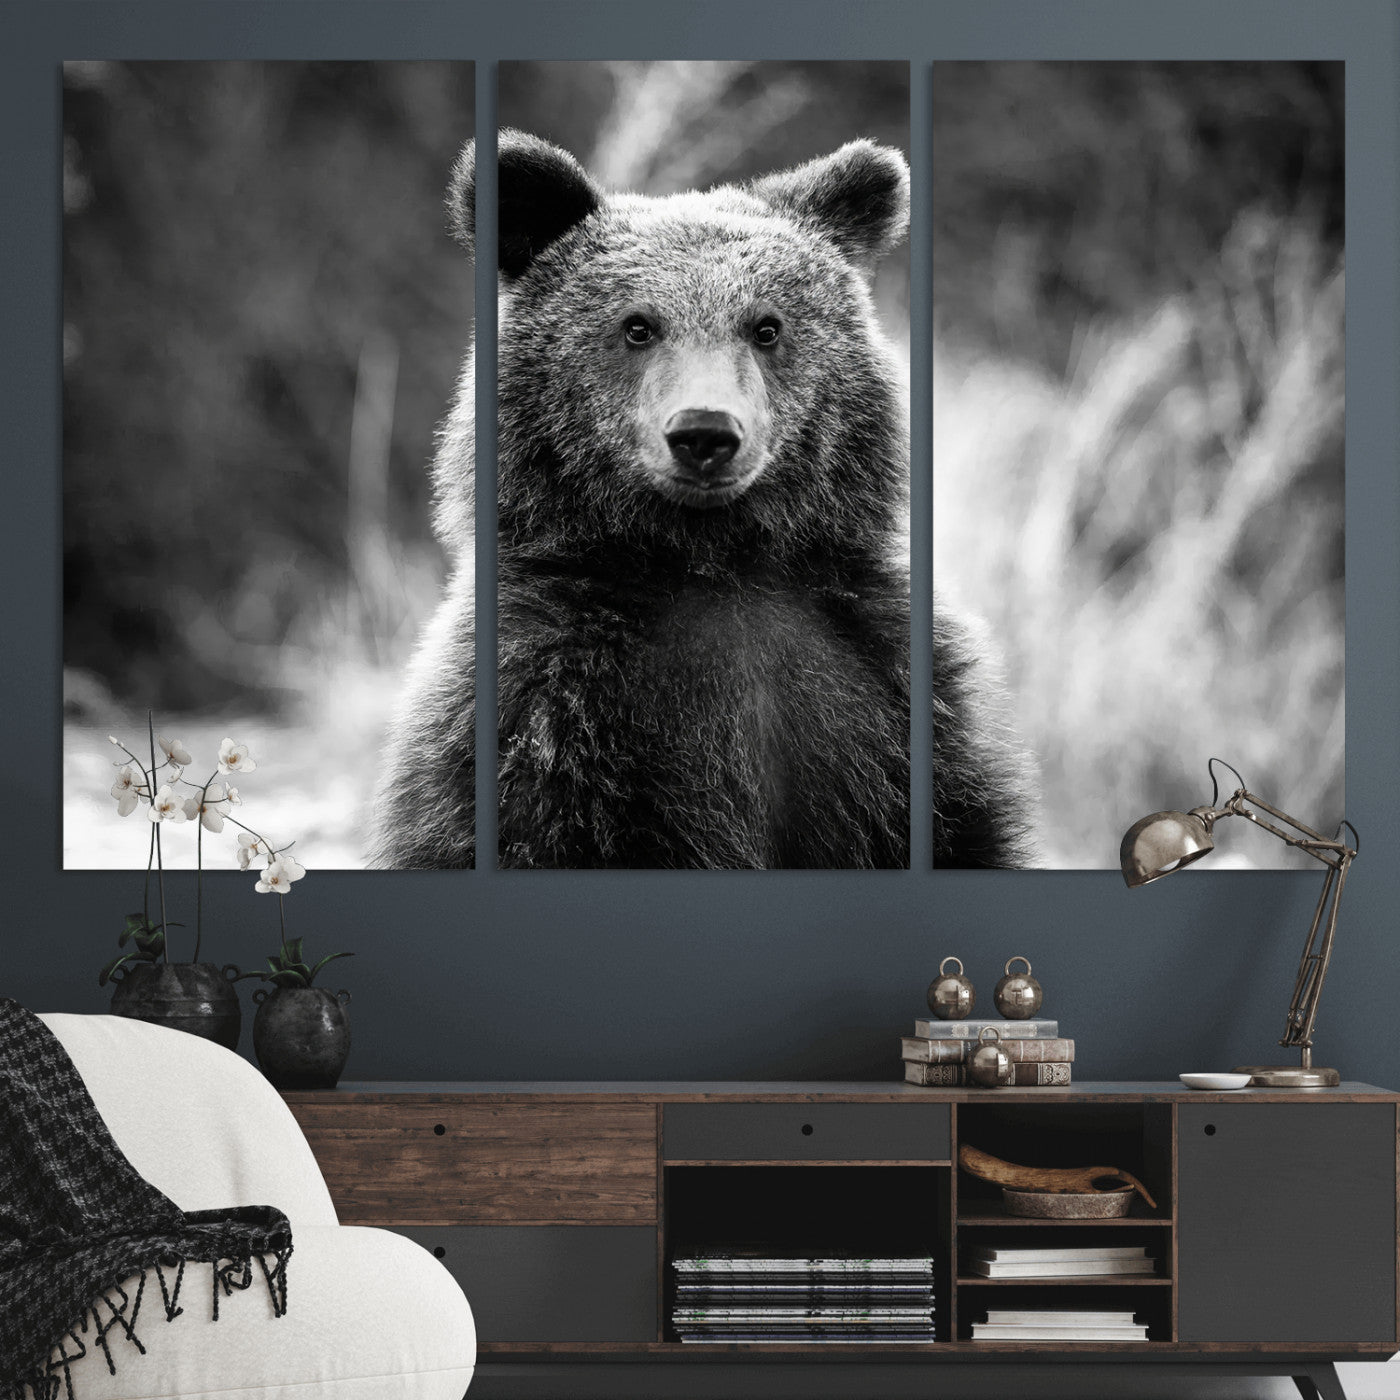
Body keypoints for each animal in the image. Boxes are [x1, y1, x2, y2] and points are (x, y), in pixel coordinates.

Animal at [370, 129, 1029, 870]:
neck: (711, 561)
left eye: (766, 327)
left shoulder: (887, 694)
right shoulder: (544, 710)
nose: (705, 433)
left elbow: (958, 826)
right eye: (637, 326)